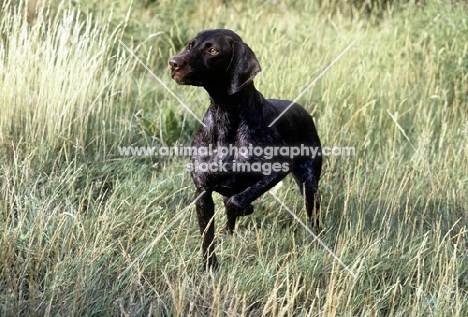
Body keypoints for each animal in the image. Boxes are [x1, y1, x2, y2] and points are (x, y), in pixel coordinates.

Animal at [168, 29, 322, 270]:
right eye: (190, 45)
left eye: (213, 50)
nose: (173, 63)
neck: (225, 115)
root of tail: (302, 109)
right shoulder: (202, 192)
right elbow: (208, 237)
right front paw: (210, 268)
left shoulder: (276, 171)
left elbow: (236, 201)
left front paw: (246, 208)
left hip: (309, 184)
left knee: (313, 215)